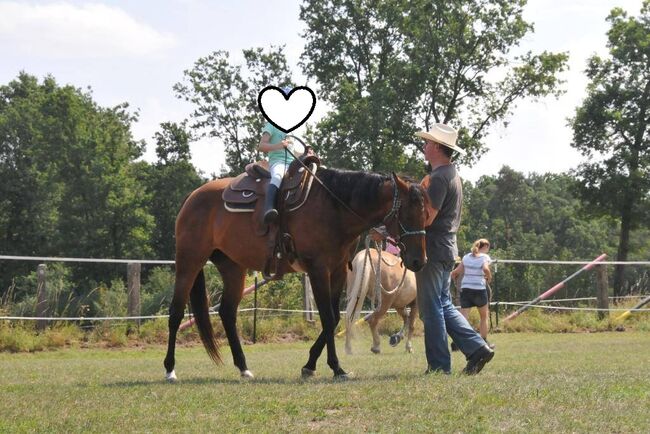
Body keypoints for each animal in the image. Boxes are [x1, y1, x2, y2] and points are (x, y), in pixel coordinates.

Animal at [162, 166, 430, 380]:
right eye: (407, 213)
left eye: (426, 214)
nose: (419, 261)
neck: (334, 208)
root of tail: (193, 196)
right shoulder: (318, 270)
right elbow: (327, 318)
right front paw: (336, 367)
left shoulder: (338, 271)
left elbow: (334, 317)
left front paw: (310, 365)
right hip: (189, 261)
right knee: (176, 313)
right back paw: (170, 369)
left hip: (233, 268)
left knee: (227, 312)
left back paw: (243, 367)